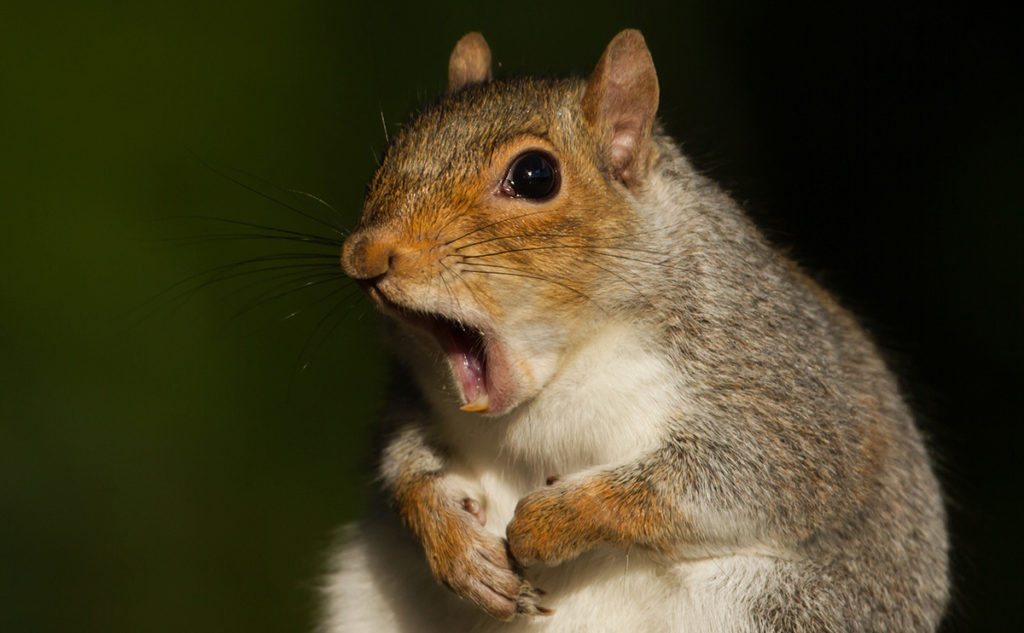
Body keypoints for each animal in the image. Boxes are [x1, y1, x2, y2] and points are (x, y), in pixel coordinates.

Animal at [321, 30, 949, 632]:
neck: (559, 374)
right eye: (391, 151)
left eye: (535, 175)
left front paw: (550, 522)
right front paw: (454, 543)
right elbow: (405, 463)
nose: (364, 255)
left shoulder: (776, 387)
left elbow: (735, 479)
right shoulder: (414, 397)